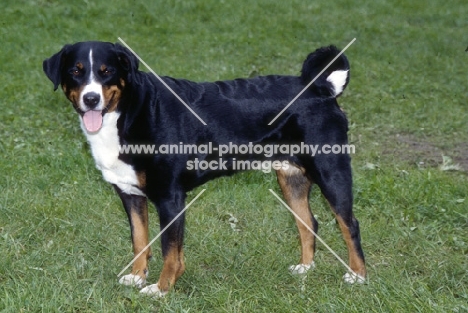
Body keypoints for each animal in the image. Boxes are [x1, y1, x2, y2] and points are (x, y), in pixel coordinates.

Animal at [43, 40, 366, 294]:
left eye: (107, 71)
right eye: (76, 71)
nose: (91, 99)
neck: (127, 113)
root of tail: (322, 88)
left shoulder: (170, 198)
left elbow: (170, 252)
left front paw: (160, 289)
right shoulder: (130, 194)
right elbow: (140, 240)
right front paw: (137, 277)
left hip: (330, 170)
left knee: (349, 224)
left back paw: (358, 276)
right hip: (291, 177)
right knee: (308, 222)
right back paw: (305, 268)